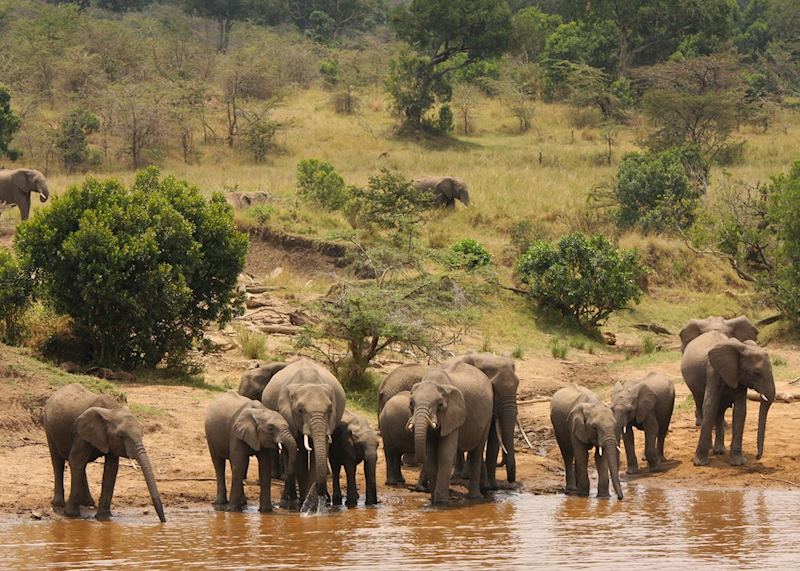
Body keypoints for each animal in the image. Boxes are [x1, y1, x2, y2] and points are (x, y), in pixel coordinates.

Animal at [43, 383, 165, 522]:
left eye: (142, 433)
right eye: (121, 436)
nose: (163, 521)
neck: (112, 411)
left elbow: (111, 469)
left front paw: (104, 518)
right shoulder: (80, 434)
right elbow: (76, 461)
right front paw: (71, 515)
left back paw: (88, 503)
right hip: (48, 426)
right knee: (58, 461)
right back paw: (59, 504)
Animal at [261, 358, 346, 510]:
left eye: (330, 410)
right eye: (300, 410)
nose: (325, 498)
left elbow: (318, 452)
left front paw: (311, 504)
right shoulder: (290, 416)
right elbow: (300, 450)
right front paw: (303, 502)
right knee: (288, 454)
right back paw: (289, 501)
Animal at [407, 362, 493, 504]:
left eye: (440, 405)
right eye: (411, 403)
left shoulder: (453, 414)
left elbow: (445, 453)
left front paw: (441, 503)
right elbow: (431, 453)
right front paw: (433, 500)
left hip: (488, 416)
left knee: (477, 451)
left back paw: (474, 498)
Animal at [443, 353, 520, 486]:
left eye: (518, 385)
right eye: (494, 389)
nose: (511, 480)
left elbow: (493, 436)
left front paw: (492, 485)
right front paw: (468, 476)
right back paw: (460, 475)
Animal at [681, 328, 775, 466]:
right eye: (756, 373)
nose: (758, 456)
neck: (742, 348)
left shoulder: (739, 378)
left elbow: (740, 410)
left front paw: (738, 462)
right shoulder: (713, 373)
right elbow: (710, 406)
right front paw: (700, 463)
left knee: (719, 412)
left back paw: (719, 451)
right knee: (702, 403)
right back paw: (711, 448)